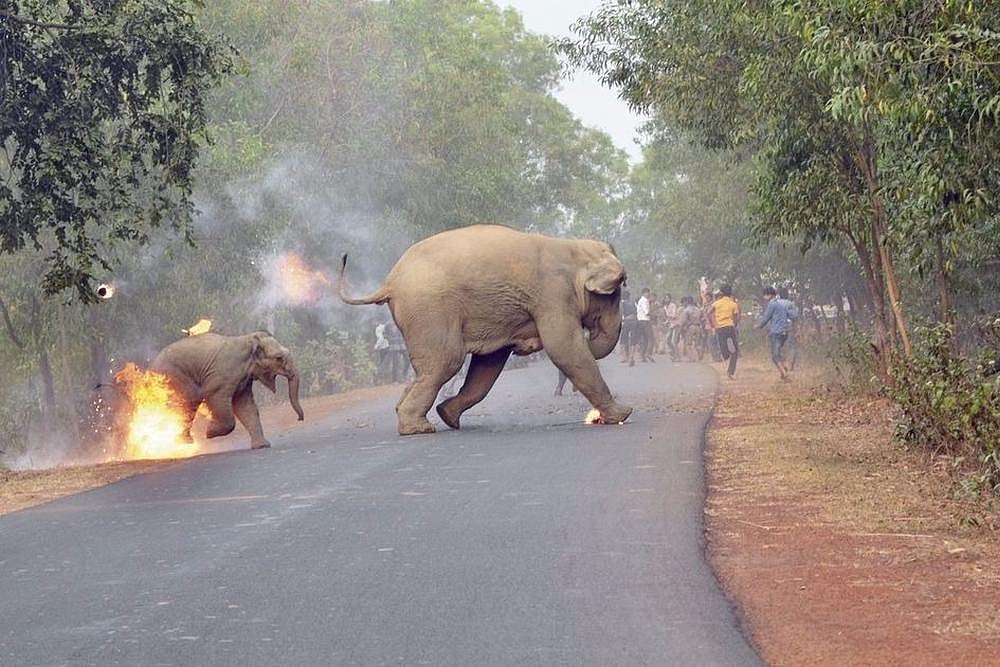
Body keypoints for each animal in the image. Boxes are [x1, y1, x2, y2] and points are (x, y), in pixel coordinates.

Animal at [151, 331, 304, 449]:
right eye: (279, 358)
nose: (299, 419)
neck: (250, 340)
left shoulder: (244, 380)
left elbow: (245, 406)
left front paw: (262, 446)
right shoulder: (224, 374)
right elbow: (216, 397)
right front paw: (209, 433)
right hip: (174, 376)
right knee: (189, 400)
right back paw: (184, 442)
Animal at [338, 224, 632, 435]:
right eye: (615, 292)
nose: (591, 336)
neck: (573, 248)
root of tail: (390, 282)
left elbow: (489, 364)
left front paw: (448, 414)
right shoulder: (553, 294)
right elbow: (564, 348)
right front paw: (623, 414)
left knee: (429, 369)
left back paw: (426, 418)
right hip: (429, 309)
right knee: (447, 361)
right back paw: (418, 429)